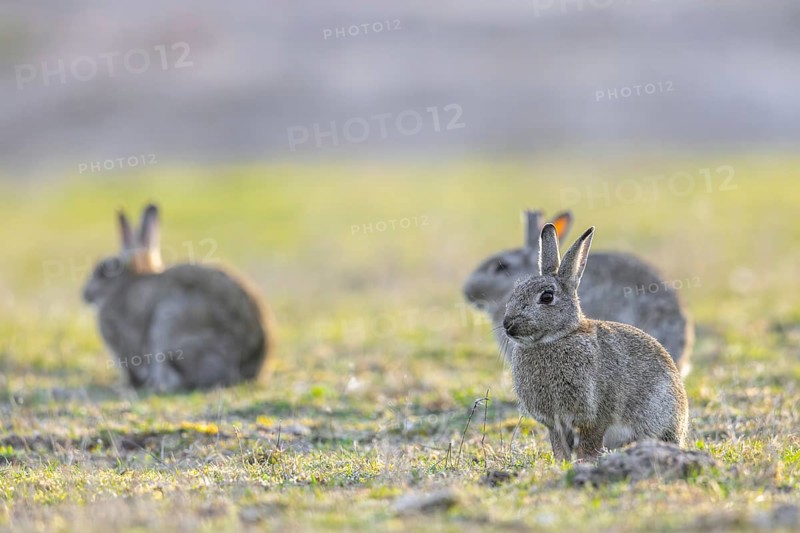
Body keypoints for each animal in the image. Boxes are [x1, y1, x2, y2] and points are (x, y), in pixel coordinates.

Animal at [503, 223, 688, 461]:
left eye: (547, 297)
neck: (556, 338)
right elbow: (559, 447)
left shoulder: (594, 416)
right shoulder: (555, 424)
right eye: (515, 292)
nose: (508, 325)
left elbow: (590, 444)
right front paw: (562, 464)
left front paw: (585, 463)